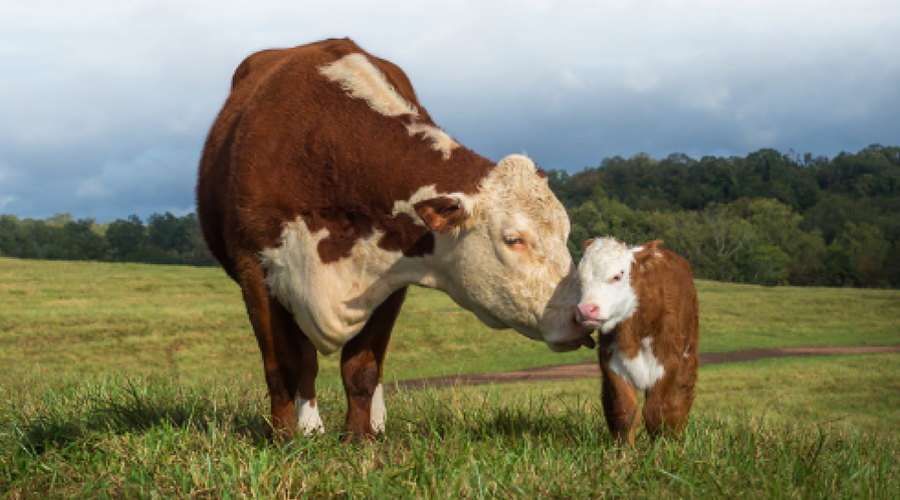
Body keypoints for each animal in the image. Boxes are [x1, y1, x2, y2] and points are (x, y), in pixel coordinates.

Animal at [194, 37, 596, 440]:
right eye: (514, 239)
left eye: (566, 234)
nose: (580, 315)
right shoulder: (256, 272)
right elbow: (285, 367)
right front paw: (285, 438)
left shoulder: (389, 277)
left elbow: (362, 368)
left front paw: (360, 438)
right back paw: (310, 427)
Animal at [576, 236, 696, 448]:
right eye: (580, 278)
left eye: (617, 276)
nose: (586, 310)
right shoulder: (611, 363)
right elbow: (625, 411)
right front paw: (625, 451)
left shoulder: (667, 363)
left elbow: (656, 412)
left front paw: (661, 450)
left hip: (687, 361)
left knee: (681, 403)